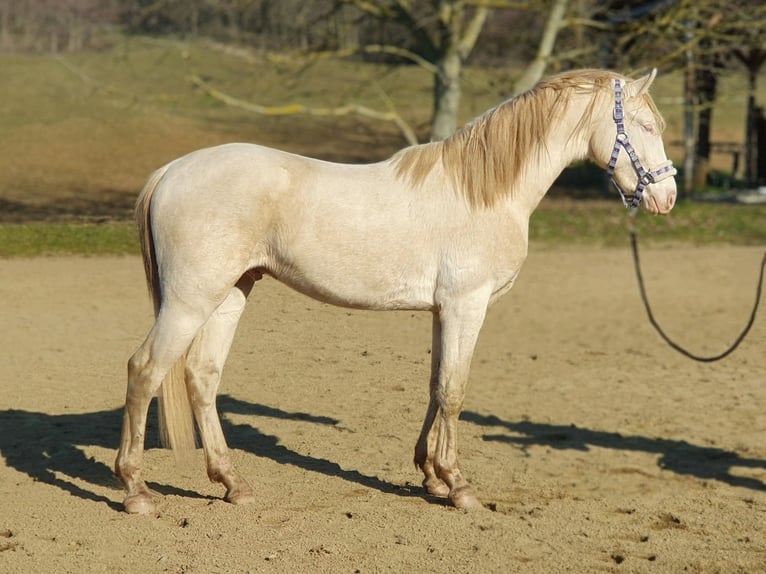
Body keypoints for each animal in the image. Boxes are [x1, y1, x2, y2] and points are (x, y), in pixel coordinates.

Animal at [114, 70, 680, 516]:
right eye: (647, 126)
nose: (666, 196)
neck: (484, 190)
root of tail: (173, 170)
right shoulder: (467, 305)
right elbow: (455, 391)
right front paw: (459, 487)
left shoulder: (442, 310)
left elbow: (435, 385)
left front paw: (430, 476)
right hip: (190, 300)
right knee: (145, 370)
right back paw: (137, 490)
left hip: (230, 293)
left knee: (201, 377)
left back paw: (234, 484)